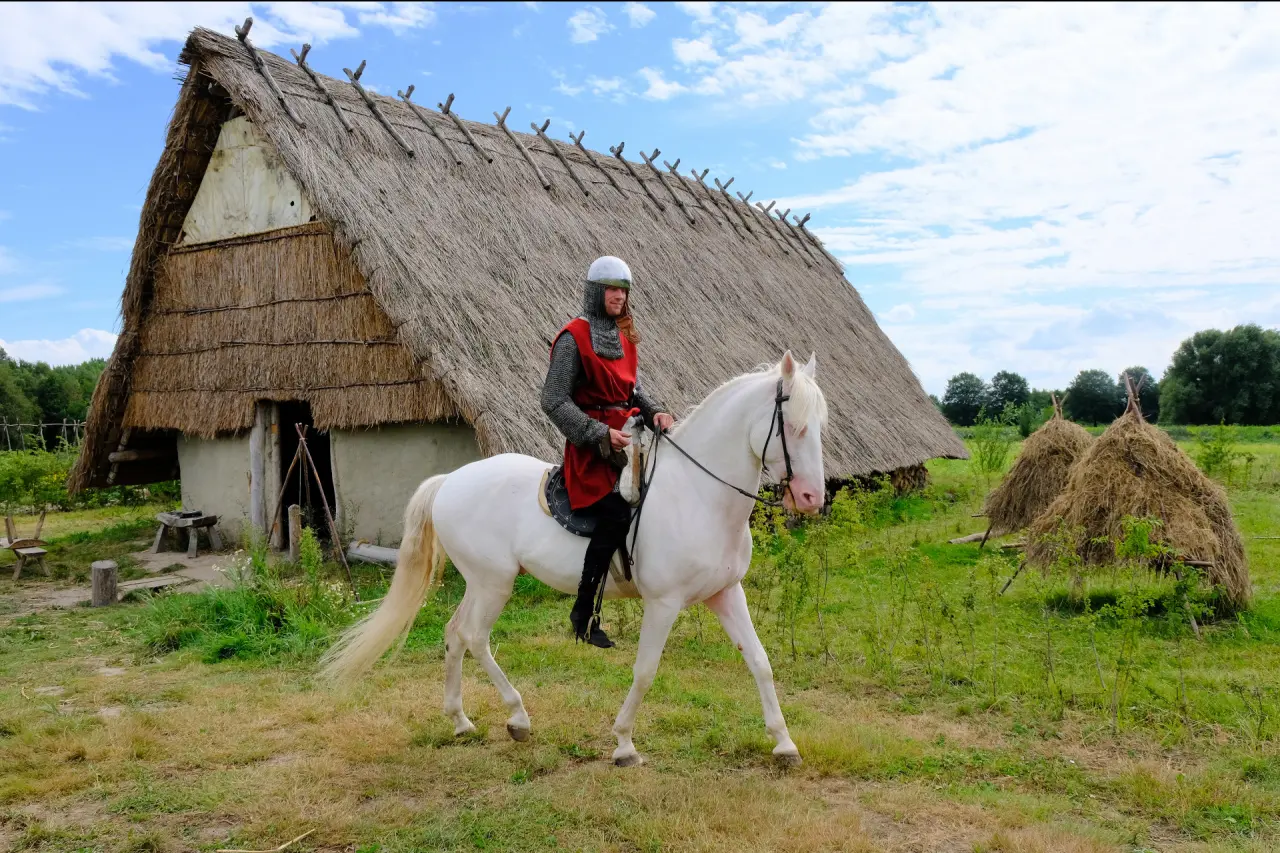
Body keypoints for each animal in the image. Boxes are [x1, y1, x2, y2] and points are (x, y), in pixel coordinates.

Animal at [320, 348, 829, 758]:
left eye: (820, 427)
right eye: (792, 426)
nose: (811, 499)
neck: (698, 494)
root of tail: (450, 480)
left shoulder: (726, 593)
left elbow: (760, 661)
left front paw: (784, 742)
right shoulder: (663, 604)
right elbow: (646, 671)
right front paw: (624, 743)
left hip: (480, 582)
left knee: (453, 634)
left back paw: (461, 720)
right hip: (494, 583)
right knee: (474, 636)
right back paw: (518, 717)